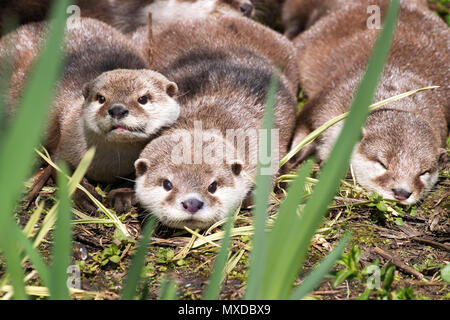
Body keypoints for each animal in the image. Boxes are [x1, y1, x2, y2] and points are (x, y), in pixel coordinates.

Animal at [0, 17, 179, 212]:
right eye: (101, 98)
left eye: (143, 99)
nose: (117, 109)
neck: (109, 166)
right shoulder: (66, 143)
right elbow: (62, 169)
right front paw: (88, 197)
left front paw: (122, 195)